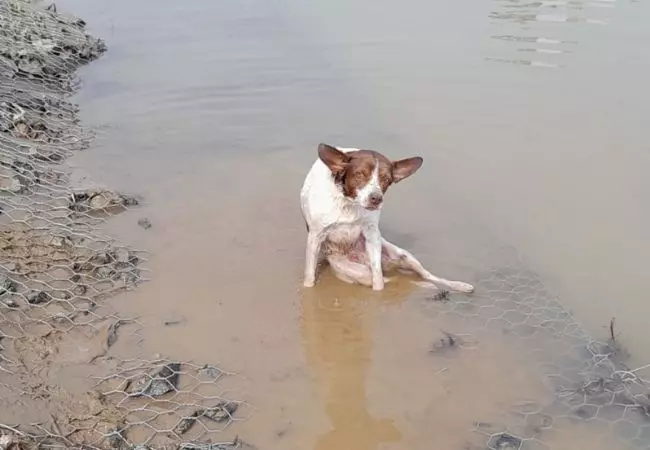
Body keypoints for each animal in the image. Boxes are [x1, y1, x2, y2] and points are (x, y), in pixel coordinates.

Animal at [298, 142, 470, 294]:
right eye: (359, 174)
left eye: (387, 179)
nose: (376, 198)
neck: (349, 203)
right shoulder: (315, 235)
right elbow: (309, 275)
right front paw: (308, 289)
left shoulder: (372, 234)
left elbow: (378, 280)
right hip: (358, 272)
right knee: (399, 281)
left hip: (402, 255)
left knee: (424, 276)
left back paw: (459, 286)